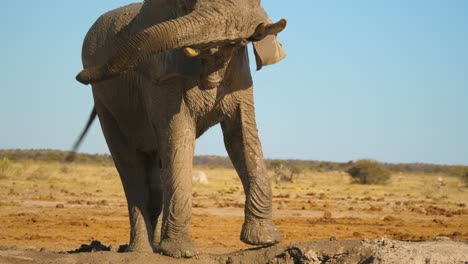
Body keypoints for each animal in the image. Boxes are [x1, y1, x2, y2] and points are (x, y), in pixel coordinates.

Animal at [75, 0, 288, 256]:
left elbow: (242, 137)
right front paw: (182, 252)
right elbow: (179, 136)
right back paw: (141, 251)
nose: (79, 75)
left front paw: (264, 241)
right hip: (105, 102)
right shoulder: (163, 76)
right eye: (187, 7)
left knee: (154, 182)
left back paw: (154, 248)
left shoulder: (241, 75)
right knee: (131, 170)